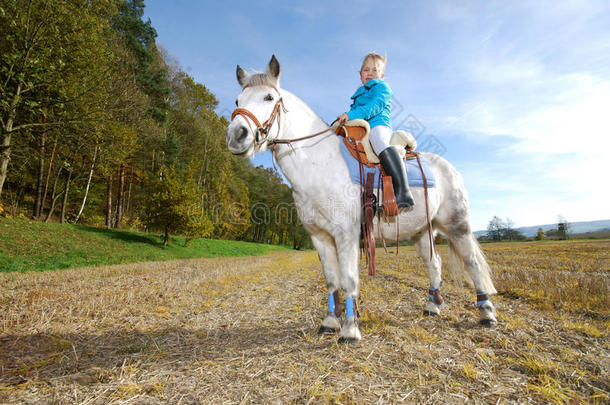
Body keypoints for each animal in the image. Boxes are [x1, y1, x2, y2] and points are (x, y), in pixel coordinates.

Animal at [224, 55, 494, 342]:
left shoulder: (347, 234)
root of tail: (449, 167)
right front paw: (330, 321)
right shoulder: (320, 237)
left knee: (473, 263)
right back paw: (432, 306)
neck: (320, 163)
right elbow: (332, 281)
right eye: (237, 101)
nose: (236, 135)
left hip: (457, 225)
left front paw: (350, 329)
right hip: (422, 231)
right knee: (435, 264)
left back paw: (487, 312)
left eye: (268, 97)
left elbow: (349, 279)